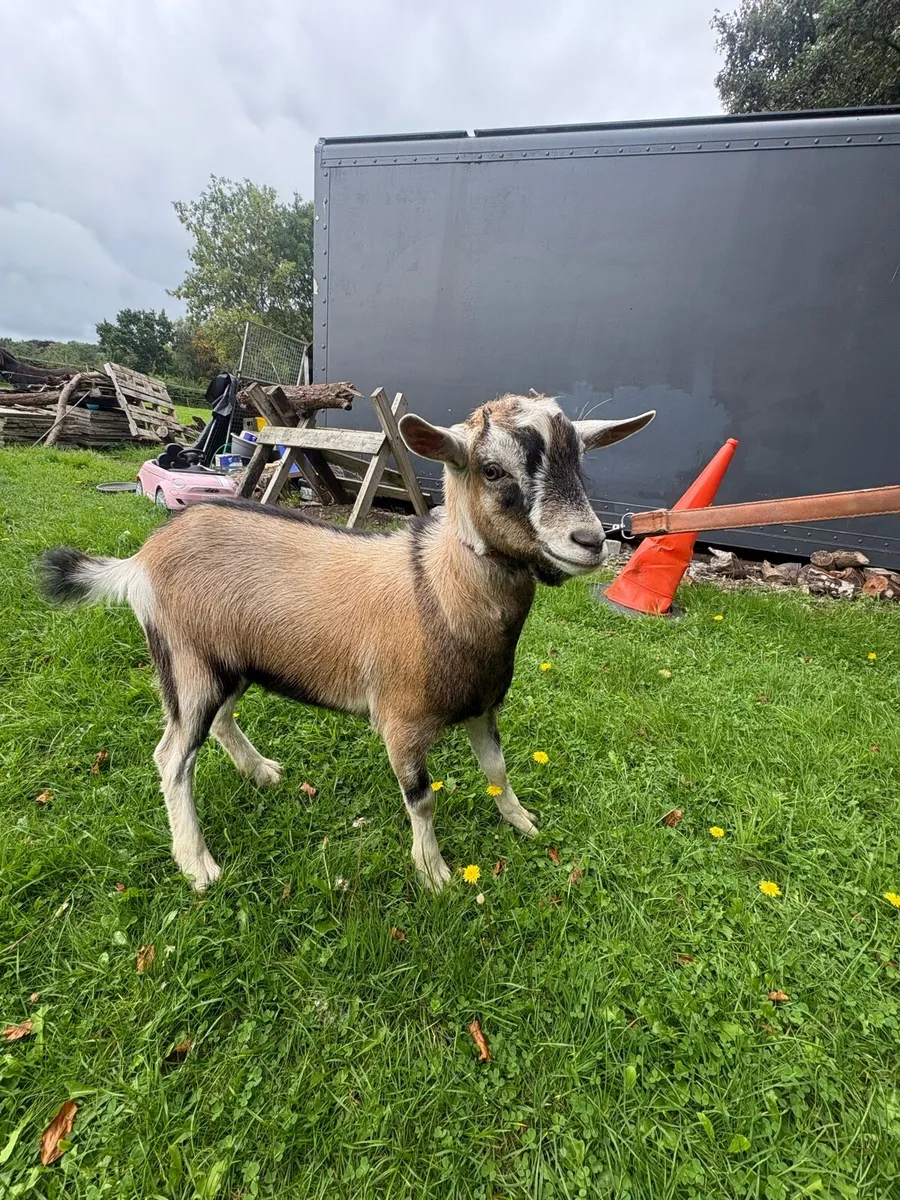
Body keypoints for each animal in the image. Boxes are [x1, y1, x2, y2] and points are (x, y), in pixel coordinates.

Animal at [38, 394, 654, 892]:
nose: (591, 541)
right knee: (172, 757)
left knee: (219, 722)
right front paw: (434, 872)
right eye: (493, 469)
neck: (436, 590)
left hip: (231, 662)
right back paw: (198, 865)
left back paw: (262, 774)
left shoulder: (482, 706)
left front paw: (521, 820)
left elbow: (498, 770)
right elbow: (423, 798)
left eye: (579, 459)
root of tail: (140, 560)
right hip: (187, 663)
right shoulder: (401, 722)